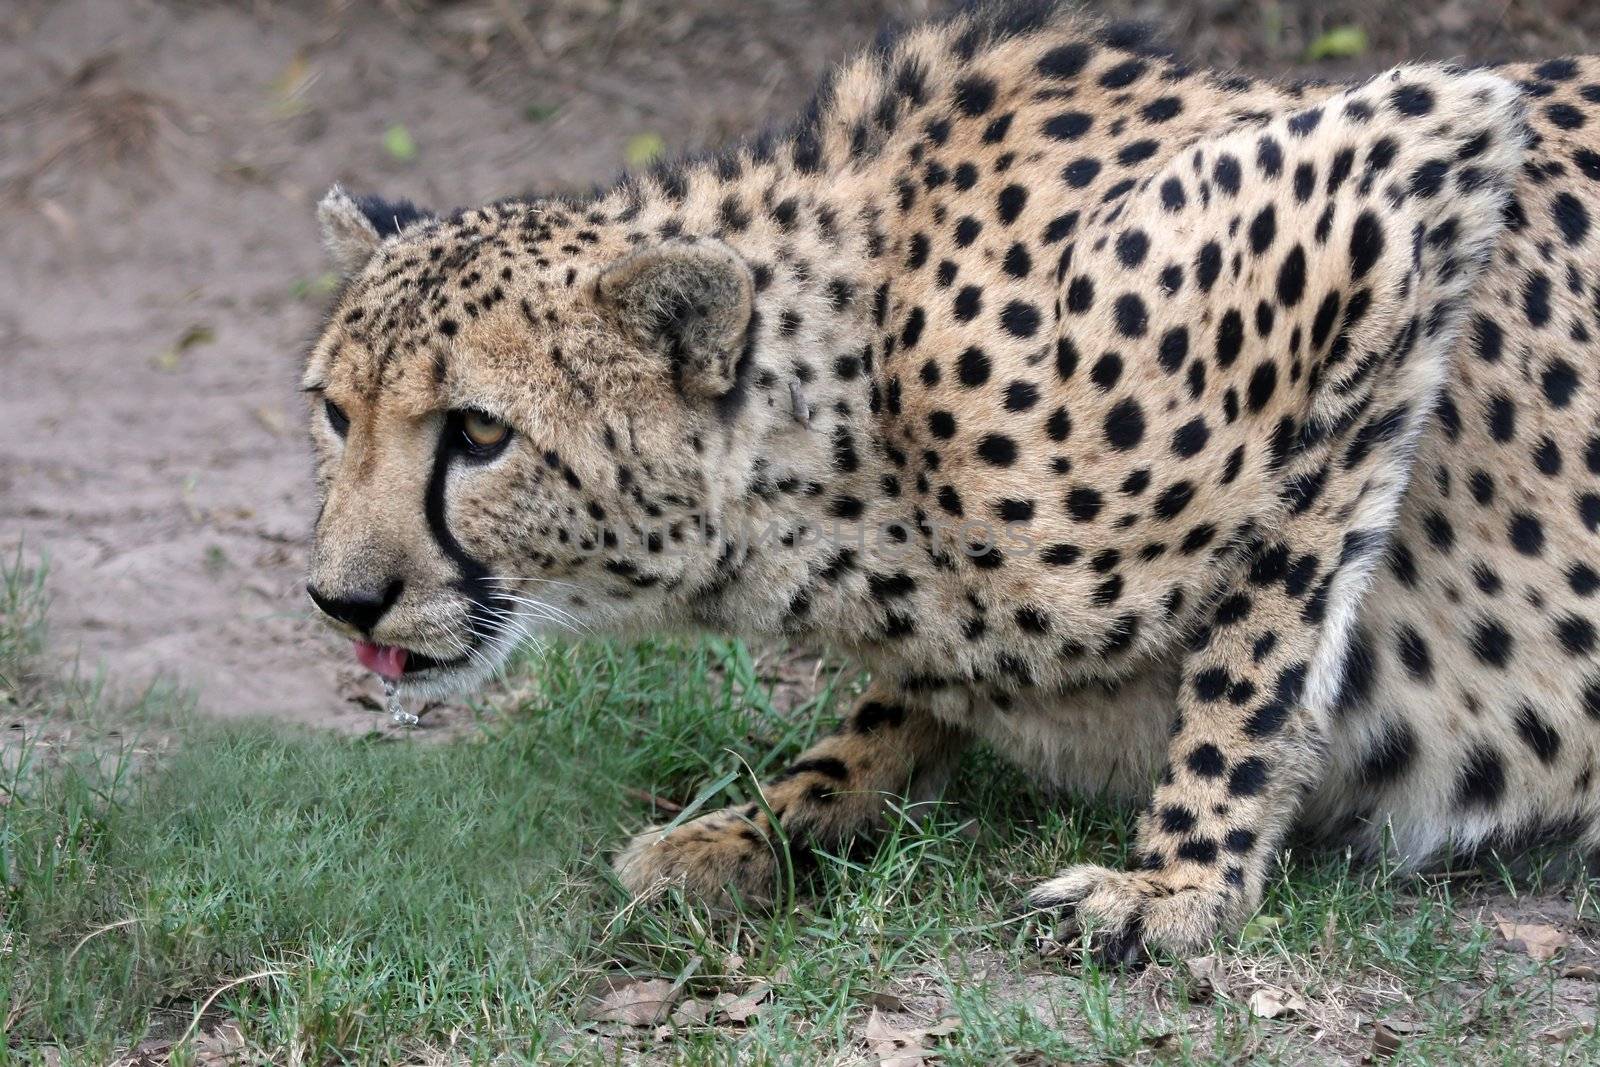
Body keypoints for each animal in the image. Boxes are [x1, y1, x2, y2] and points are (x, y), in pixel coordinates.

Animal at [297, 0, 1600, 966]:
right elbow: (897, 704)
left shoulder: (1406, 169)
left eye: (479, 431)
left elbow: (1261, 637)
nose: (340, 599)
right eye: (335, 412)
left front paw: (1180, 882)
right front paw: (768, 817)